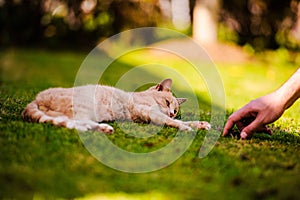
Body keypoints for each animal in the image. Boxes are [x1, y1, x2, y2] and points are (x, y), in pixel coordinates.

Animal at [22, 79, 211, 134]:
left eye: (176, 109)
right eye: (166, 102)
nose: (172, 113)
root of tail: (36, 98)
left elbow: (184, 121)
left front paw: (200, 124)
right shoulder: (147, 111)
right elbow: (173, 122)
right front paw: (184, 127)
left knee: (71, 123)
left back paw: (102, 128)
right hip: (84, 106)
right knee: (77, 123)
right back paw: (101, 128)